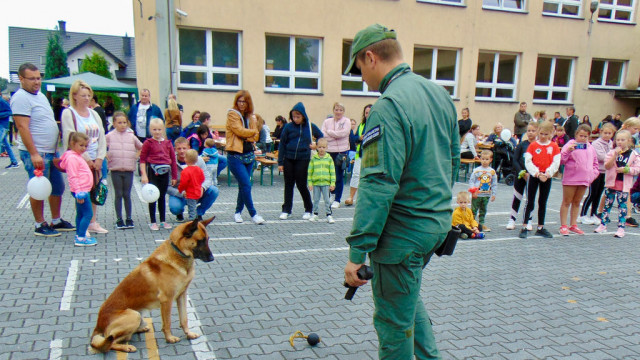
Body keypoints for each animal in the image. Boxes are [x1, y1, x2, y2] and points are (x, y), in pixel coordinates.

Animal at [89, 215, 216, 352]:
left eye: (207, 240)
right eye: (200, 241)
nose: (212, 258)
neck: (178, 254)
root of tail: (98, 325)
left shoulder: (182, 296)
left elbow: (184, 319)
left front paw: (189, 334)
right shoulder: (166, 300)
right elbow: (167, 323)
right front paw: (169, 338)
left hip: (138, 316)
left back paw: (141, 329)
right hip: (133, 315)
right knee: (110, 342)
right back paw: (126, 347)